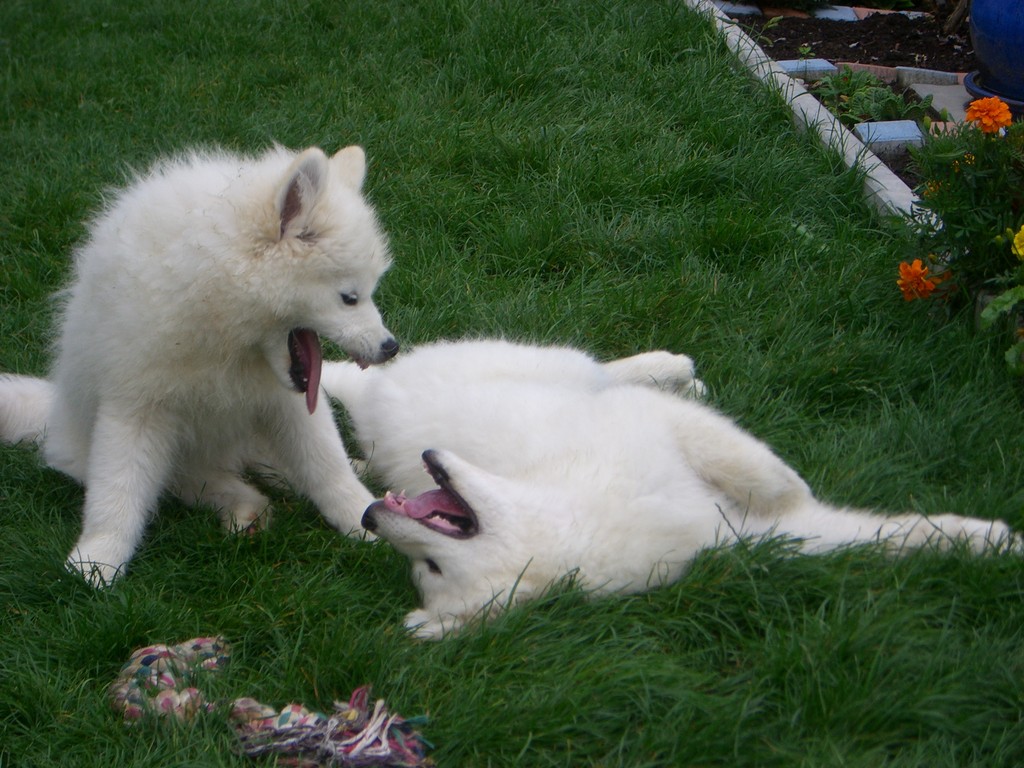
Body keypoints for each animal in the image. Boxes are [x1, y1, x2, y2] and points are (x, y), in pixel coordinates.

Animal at [323, 339, 1011, 638]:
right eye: (429, 572)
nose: (370, 517)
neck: (580, 520)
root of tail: (374, 405)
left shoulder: (658, 431)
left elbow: (759, 471)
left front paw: (986, 539)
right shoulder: (748, 536)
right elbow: (855, 531)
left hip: (534, 364)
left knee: (605, 371)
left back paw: (674, 368)